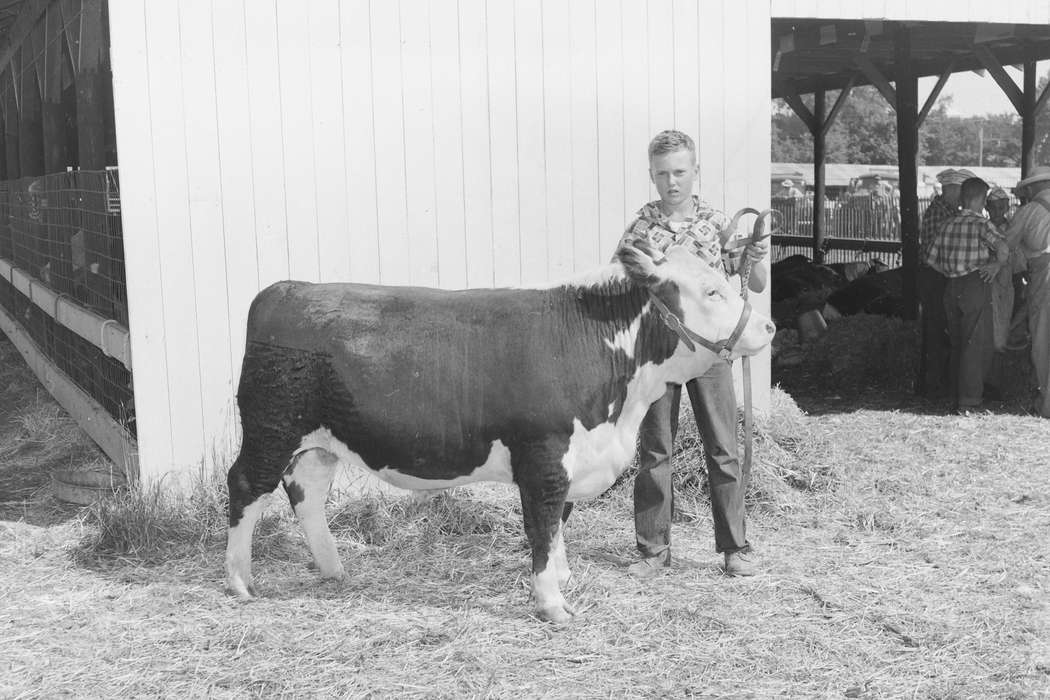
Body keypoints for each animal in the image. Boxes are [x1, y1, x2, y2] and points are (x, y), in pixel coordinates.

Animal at [225, 241, 775, 622]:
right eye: (710, 290)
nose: (768, 327)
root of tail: (286, 288)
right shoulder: (544, 457)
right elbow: (542, 527)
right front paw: (552, 604)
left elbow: (557, 527)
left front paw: (563, 578)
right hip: (270, 427)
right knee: (246, 486)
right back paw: (240, 581)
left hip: (319, 442)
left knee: (306, 491)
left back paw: (333, 569)